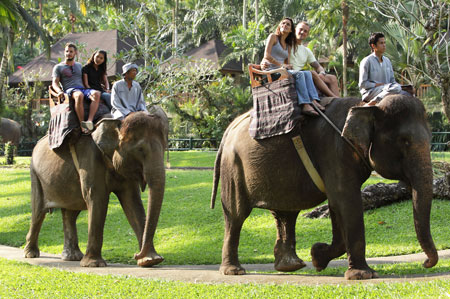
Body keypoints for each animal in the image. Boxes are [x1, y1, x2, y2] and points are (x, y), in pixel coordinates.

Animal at [24, 109, 169, 268]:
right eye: (140, 149)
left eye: (165, 147)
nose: (136, 255)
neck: (116, 123)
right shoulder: (90, 160)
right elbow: (97, 199)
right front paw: (94, 264)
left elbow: (132, 202)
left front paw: (150, 260)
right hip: (35, 174)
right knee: (38, 211)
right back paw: (31, 254)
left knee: (70, 213)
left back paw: (72, 257)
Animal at [212, 96, 440, 282]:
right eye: (405, 141)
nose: (425, 263)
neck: (366, 106)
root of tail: (230, 127)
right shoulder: (334, 151)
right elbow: (346, 201)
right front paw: (362, 275)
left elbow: (336, 204)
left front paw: (317, 257)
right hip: (233, 167)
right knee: (236, 215)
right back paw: (234, 271)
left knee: (285, 212)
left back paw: (290, 266)